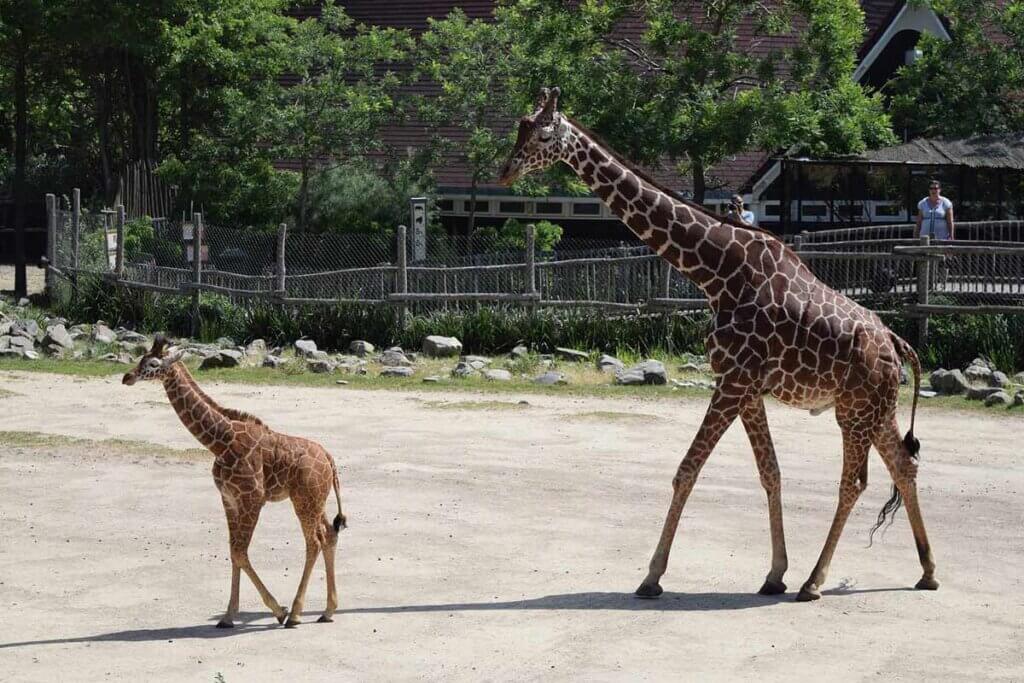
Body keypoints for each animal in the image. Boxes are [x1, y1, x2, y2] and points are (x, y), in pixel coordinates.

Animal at [121, 333, 346, 626]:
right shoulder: (228, 499)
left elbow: (240, 551)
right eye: (141, 358)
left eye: (153, 363)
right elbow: (233, 552)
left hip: (304, 501)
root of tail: (330, 459)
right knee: (329, 535)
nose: (126, 377)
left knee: (314, 542)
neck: (220, 442)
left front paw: (278, 610)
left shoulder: (253, 498)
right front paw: (228, 615)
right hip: (315, 499)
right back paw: (327, 611)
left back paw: (296, 614)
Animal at [499, 87, 937, 602]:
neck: (715, 272)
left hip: (854, 411)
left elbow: (687, 469)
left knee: (855, 481)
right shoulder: (745, 387)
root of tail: (897, 342)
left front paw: (652, 577)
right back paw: (927, 571)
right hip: (875, 409)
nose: (505, 172)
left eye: (544, 135)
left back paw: (815, 581)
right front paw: (774, 573)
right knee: (904, 467)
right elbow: (770, 472)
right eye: (520, 129)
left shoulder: (732, 380)